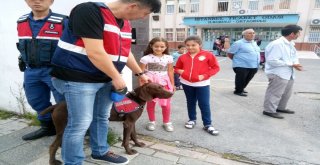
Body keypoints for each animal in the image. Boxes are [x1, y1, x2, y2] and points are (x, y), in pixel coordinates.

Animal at [42, 82, 175, 165]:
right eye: (158, 88)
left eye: (162, 86)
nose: (172, 93)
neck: (136, 99)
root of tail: (56, 105)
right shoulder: (128, 123)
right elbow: (126, 140)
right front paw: (129, 151)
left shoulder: (131, 123)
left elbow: (133, 135)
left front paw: (138, 144)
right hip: (63, 128)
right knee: (52, 146)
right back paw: (53, 162)